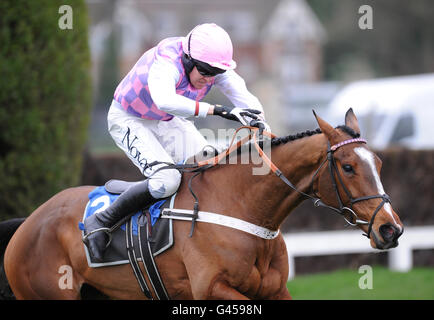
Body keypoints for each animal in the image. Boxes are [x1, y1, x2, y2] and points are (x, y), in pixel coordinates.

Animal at [0, 109, 404, 300]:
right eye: (348, 167)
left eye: (380, 163)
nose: (391, 228)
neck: (242, 208)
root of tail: (27, 224)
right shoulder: (211, 289)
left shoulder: (275, 289)